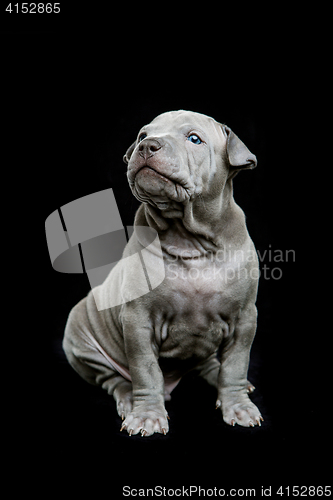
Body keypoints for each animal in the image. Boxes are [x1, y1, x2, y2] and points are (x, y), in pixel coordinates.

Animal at [63, 108, 264, 434]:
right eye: (143, 135)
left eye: (194, 139)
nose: (148, 146)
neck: (189, 238)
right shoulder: (138, 319)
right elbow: (146, 370)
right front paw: (146, 415)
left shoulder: (245, 318)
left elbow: (235, 365)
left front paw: (238, 405)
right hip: (81, 337)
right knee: (112, 379)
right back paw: (128, 400)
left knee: (211, 365)